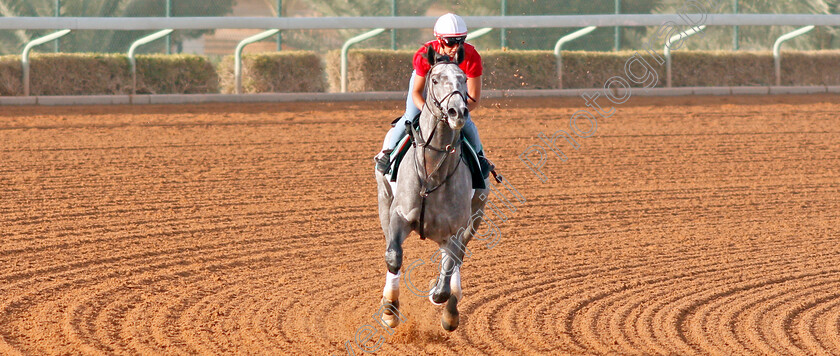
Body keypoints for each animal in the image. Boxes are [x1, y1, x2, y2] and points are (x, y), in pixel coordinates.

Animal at [376, 48, 488, 332]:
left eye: (463, 79)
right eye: (435, 80)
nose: (457, 112)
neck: (433, 169)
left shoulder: (455, 229)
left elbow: (445, 283)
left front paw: (440, 294)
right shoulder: (399, 216)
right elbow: (393, 257)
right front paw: (390, 311)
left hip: (476, 216)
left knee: (457, 260)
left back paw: (451, 309)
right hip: (384, 200)